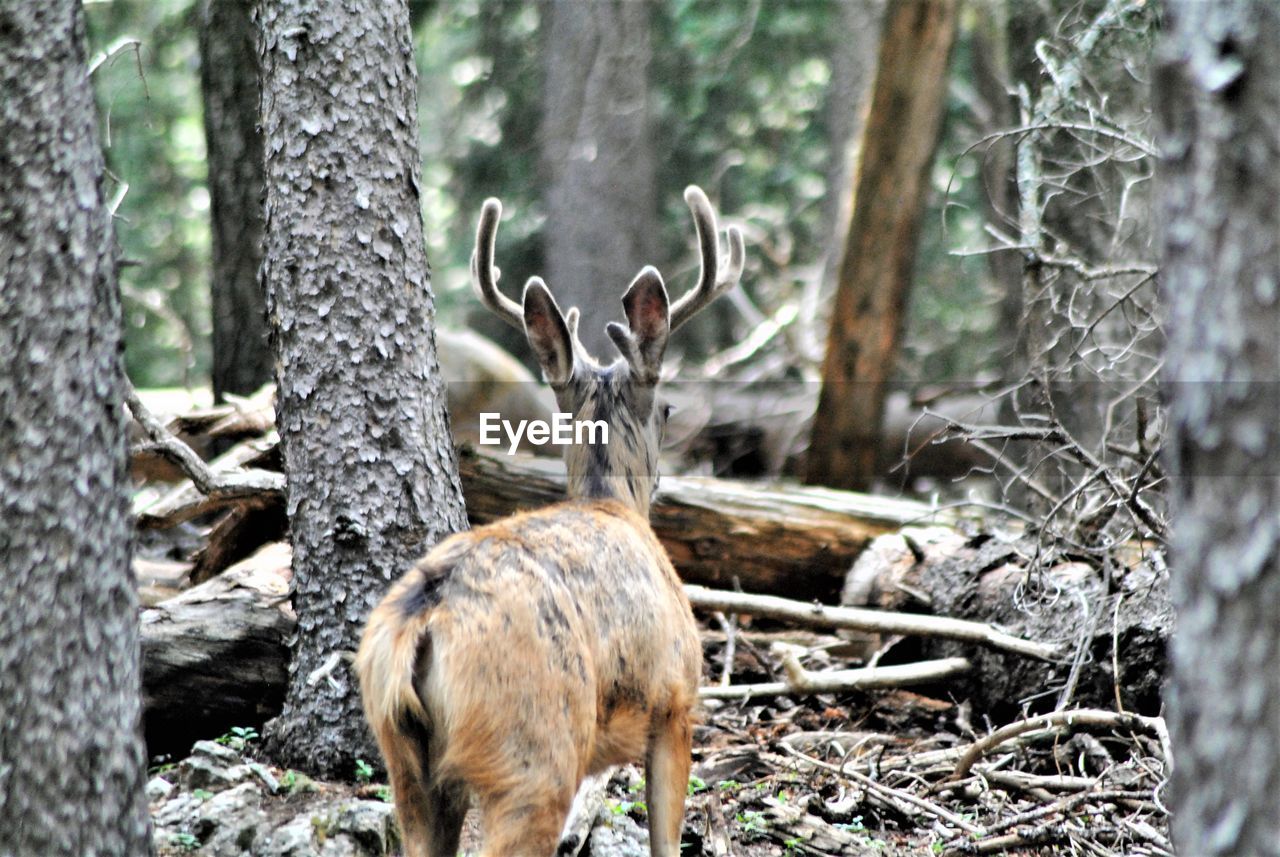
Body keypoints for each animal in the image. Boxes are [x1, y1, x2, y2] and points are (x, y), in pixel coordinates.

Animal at [355, 186, 747, 857]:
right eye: (668, 408)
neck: (609, 501)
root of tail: (423, 620)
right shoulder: (675, 701)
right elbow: (664, 839)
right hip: (532, 752)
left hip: (403, 759)